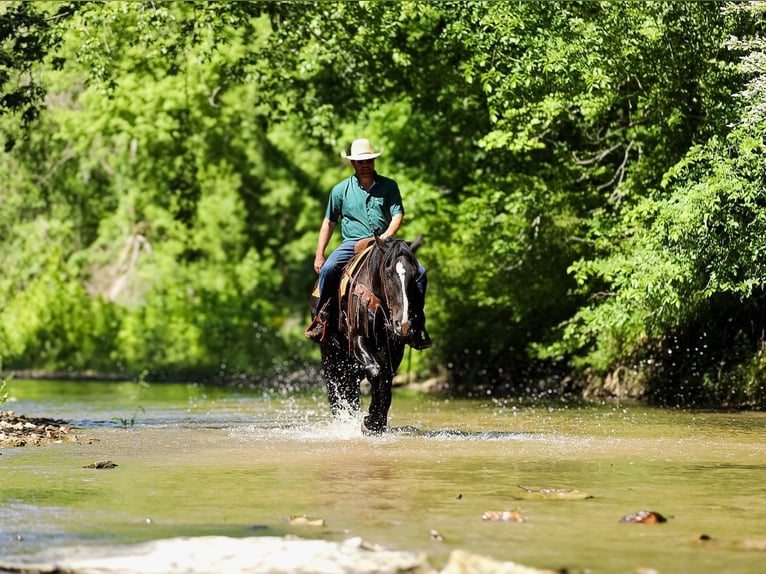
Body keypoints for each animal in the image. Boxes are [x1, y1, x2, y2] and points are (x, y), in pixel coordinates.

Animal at [311, 235, 424, 434]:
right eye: (388, 274)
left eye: (414, 275)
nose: (402, 323)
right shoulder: (358, 338)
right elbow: (376, 372)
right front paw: (371, 421)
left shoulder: (395, 347)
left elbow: (386, 379)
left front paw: (377, 422)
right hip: (329, 352)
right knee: (335, 386)